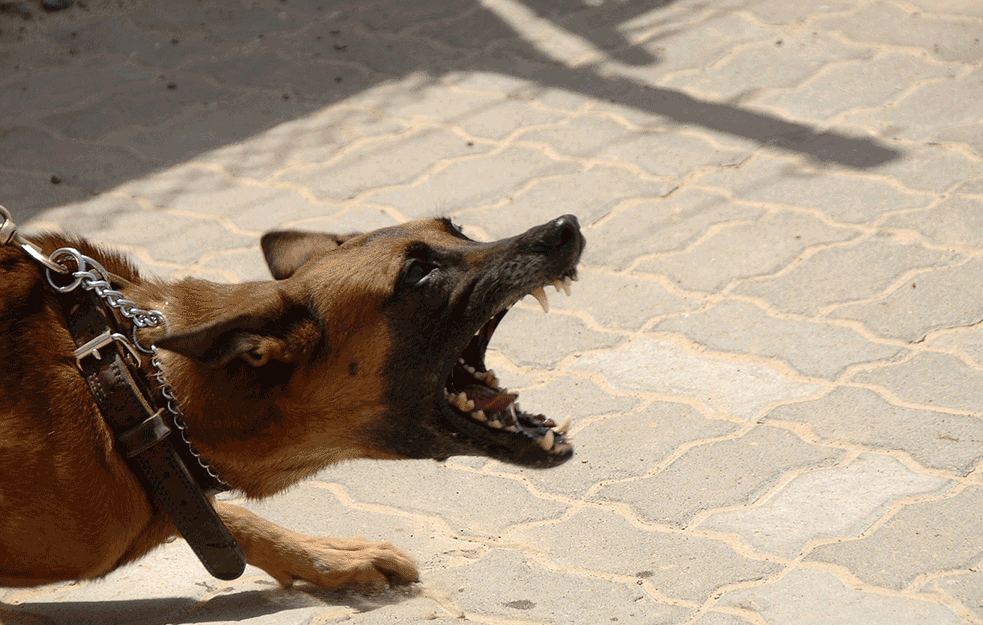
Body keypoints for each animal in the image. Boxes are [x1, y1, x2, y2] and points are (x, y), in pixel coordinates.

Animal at [0, 217, 584, 592]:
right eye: (417, 274)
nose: (566, 228)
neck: (132, 384)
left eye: (458, 230)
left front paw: (325, 557)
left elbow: (228, 516)